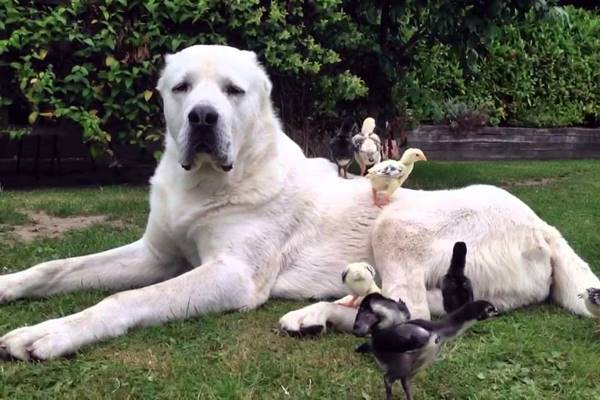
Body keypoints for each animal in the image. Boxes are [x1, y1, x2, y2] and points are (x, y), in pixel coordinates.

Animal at [1, 45, 600, 360]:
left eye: (233, 91)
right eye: (182, 87)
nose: (202, 118)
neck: (211, 182)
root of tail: (544, 226)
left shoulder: (232, 276)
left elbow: (122, 300)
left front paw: (50, 333)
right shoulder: (156, 255)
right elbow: (57, 267)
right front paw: (10, 285)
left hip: (398, 223)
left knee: (413, 307)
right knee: (413, 307)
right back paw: (320, 314)